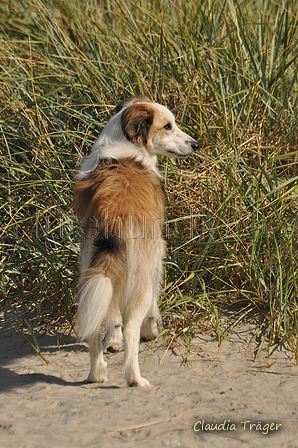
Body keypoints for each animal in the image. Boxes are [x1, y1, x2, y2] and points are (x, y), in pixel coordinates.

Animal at [73, 97, 198, 384]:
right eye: (167, 126)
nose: (195, 144)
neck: (126, 147)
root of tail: (111, 210)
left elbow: (112, 315)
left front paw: (113, 340)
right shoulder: (156, 257)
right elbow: (153, 304)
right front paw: (152, 330)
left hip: (93, 269)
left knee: (95, 326)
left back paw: (97, 374)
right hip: (140, 275)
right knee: (132, 326)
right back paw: (134, 378)